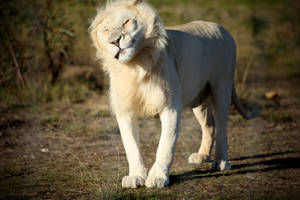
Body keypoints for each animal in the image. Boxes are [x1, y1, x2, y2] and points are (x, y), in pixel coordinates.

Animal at [89, 0, 260, 188]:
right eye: (106, 30)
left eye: (126, 22)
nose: (115, 41)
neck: (135, 65)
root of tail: (221, 28)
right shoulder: (125, 109)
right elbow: (131, 146)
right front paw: (135, 176)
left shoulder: (169, 106)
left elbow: (166, 145)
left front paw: (158, 177)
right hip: (199, 99)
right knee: (209, 125)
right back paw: (202, 156)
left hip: (221, 87)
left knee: (222, 127)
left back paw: (221, 162)